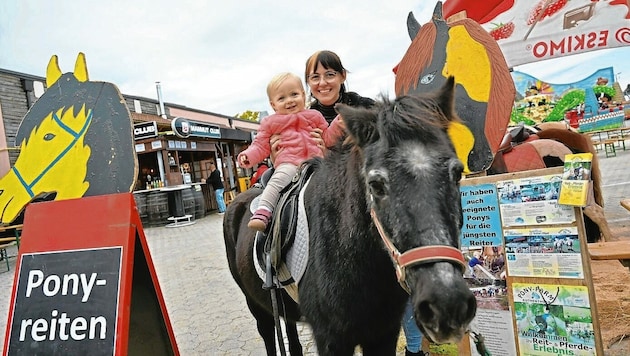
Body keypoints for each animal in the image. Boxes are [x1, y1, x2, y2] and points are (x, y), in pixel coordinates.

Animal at [225, 76, 476, 354]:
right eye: (375, 185)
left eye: (457, 173)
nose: (447, 304)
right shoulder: (331, 339)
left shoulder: (384, 333)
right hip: (256, 306)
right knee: (269, 335)